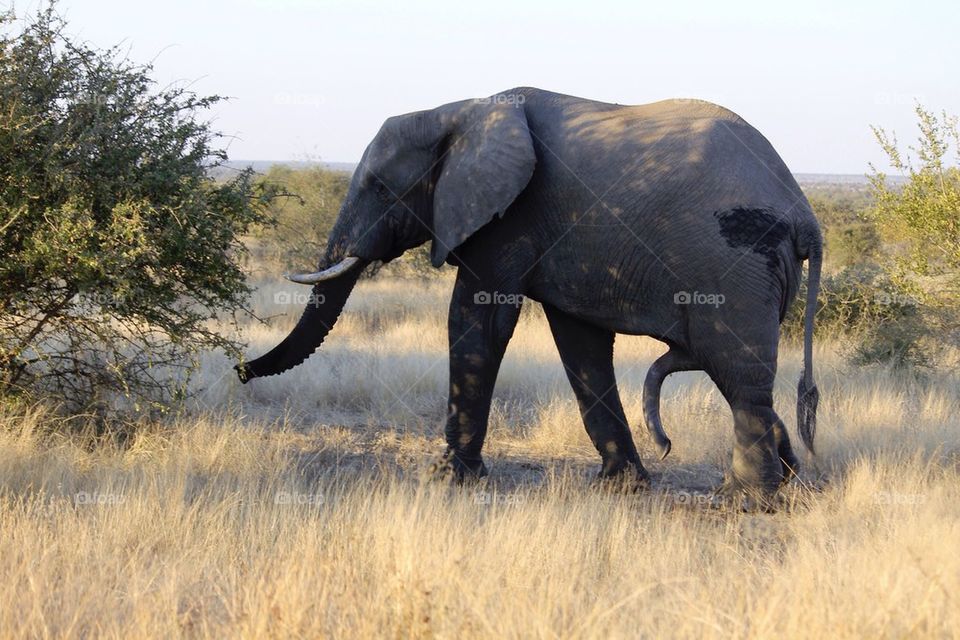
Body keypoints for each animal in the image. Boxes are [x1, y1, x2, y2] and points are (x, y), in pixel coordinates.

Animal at [236, 87, 822, 500]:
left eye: (381, 188)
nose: (239, 369)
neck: (459, 111)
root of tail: (807, 216)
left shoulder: (508, 215)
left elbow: (478, 320)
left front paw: (446, 479)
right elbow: (580, 344)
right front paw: (620, 487)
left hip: (737, 266)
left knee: (739, 375)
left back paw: (747, 500)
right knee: (736, 375)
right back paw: (787, 482)